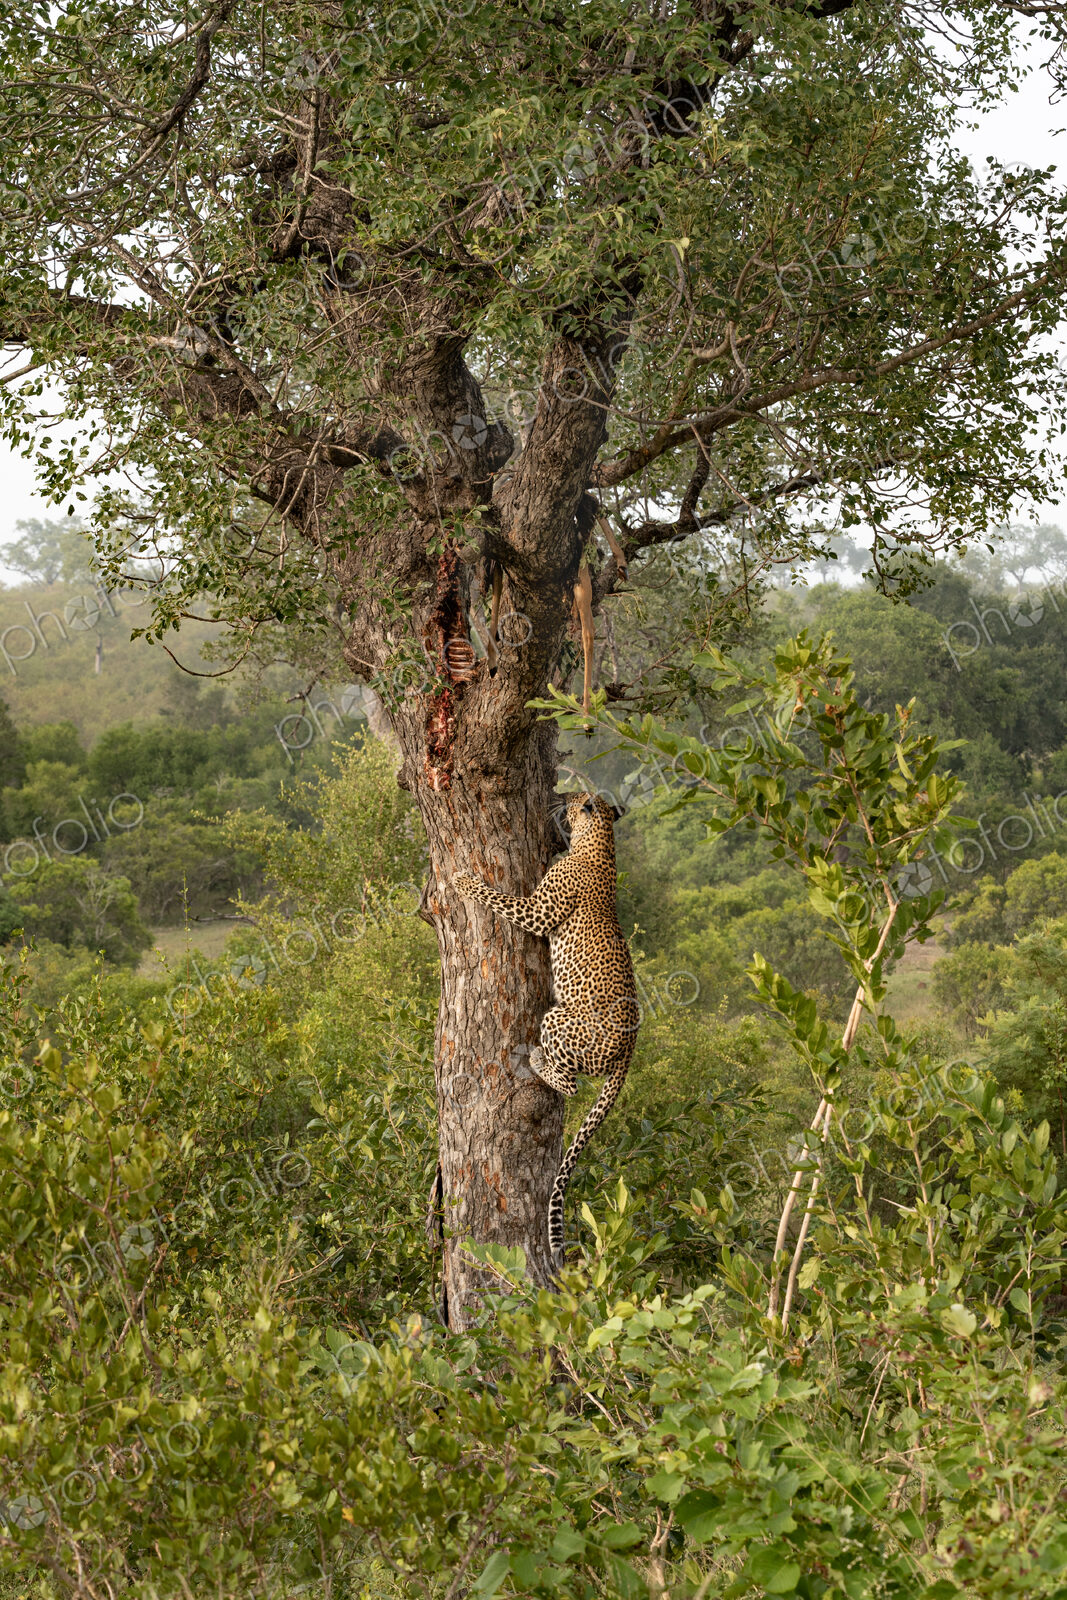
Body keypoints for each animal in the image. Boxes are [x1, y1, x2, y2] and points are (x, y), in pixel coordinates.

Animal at [451, 791, 640, 1264]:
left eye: (574, 798)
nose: (561, 797)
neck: (601, 842)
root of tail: (631, 1050)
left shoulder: (537, 911)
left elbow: (497, 896)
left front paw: (463, 880)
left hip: (559, 1019)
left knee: (570, 1083)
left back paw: (538, 1060)